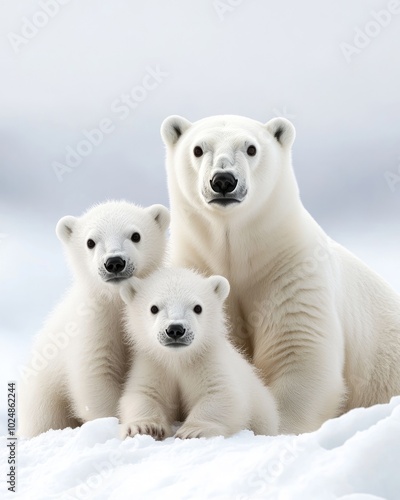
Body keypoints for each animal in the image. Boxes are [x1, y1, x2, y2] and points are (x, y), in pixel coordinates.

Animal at [161, 113, 400, 434]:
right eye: (198, 149)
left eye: (251, 148)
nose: (223, 180)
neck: (237, 252)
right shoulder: (195, 264)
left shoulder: (291, 270)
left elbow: (298, 349)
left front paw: (274, 425)